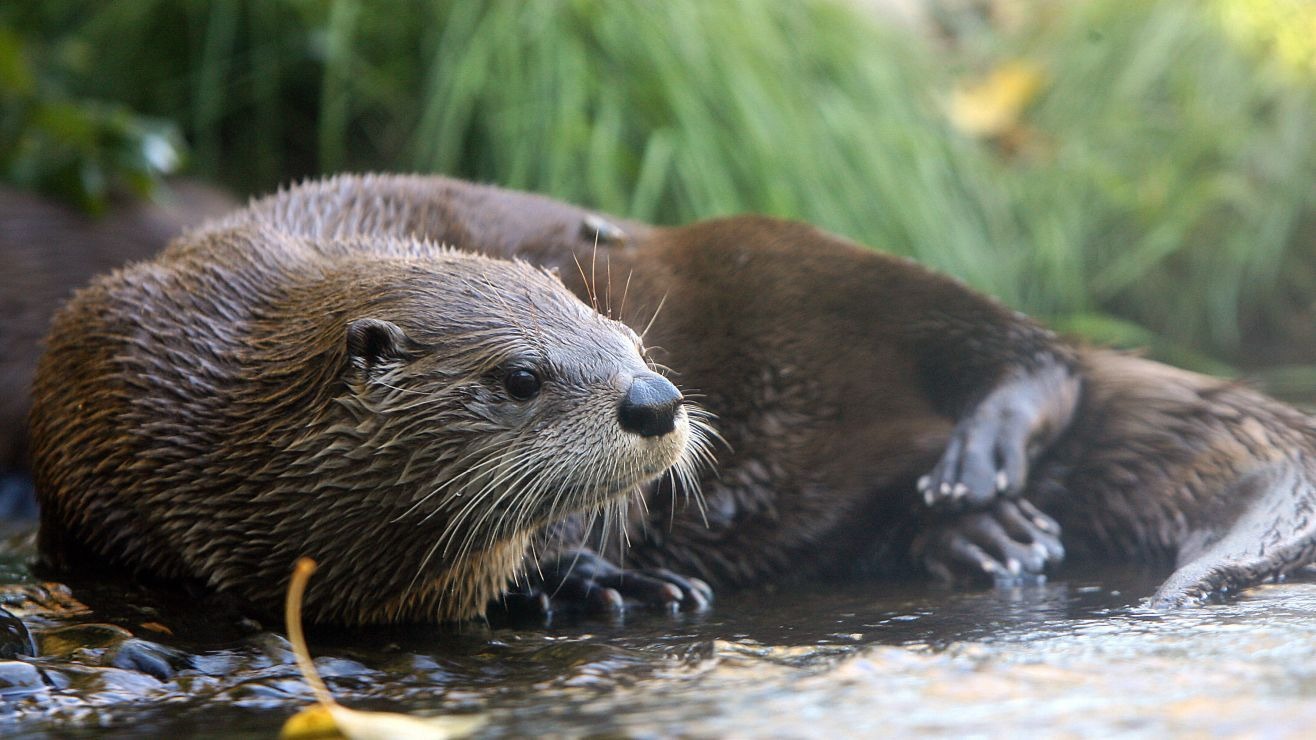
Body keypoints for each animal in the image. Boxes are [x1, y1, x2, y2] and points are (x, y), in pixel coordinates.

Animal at [190, 175, 1310, 608]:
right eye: (518, 377)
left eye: (622, 339)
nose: (656, 398)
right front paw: (589, 581)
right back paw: (980, 534)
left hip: (798, 253)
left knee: (1036, 353)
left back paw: (978, 470)